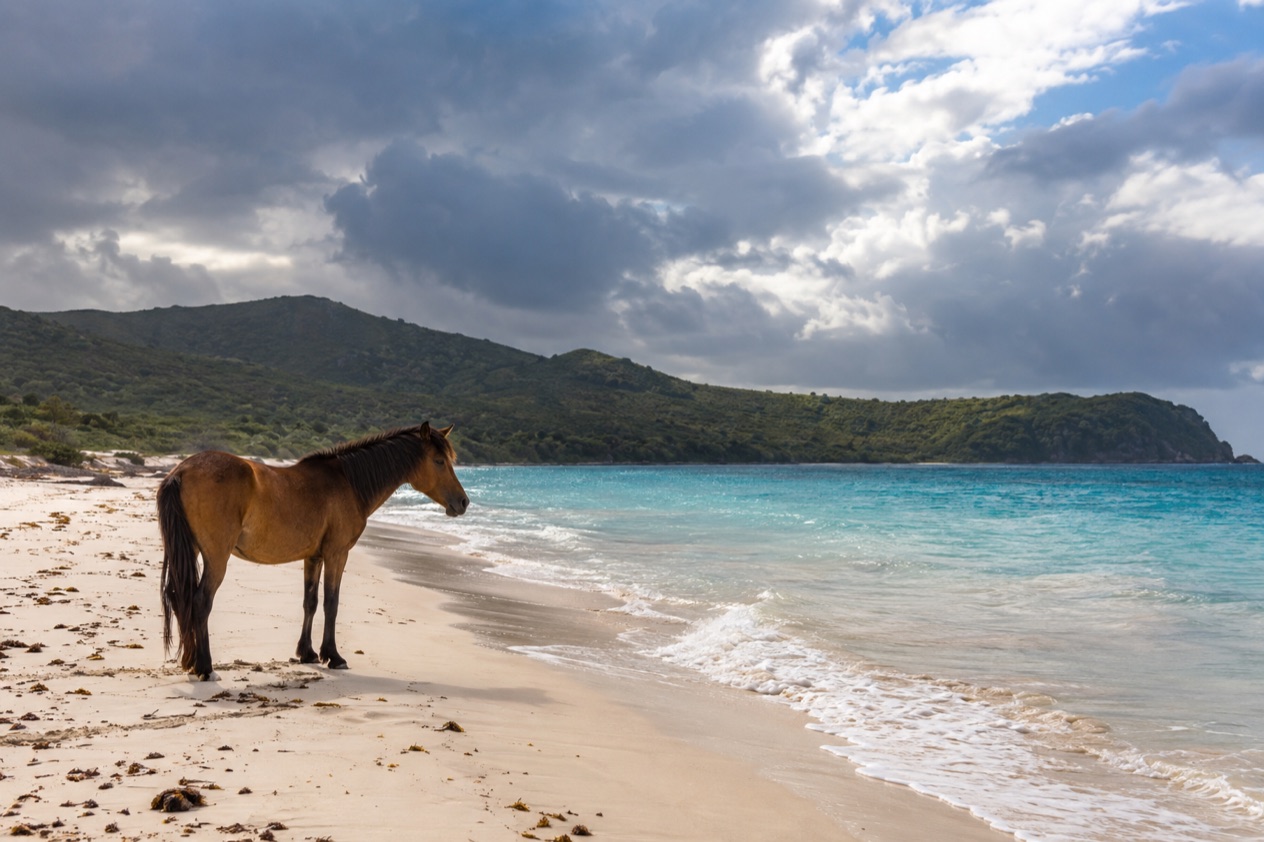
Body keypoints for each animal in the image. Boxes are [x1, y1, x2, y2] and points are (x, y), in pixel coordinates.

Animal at [157, 422, 468, 680]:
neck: (349, 482)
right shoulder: (337, 554)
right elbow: (331, 603)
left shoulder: (313, 556)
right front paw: (334, 656)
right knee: (200, 601)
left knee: (180, 597)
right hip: (216, 557)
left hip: (191, 551)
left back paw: (190, 662)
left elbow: (311, 602)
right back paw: (206, 668)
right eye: (439, 461)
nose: (463, 502)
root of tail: (180, 471)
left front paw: (307, 653)